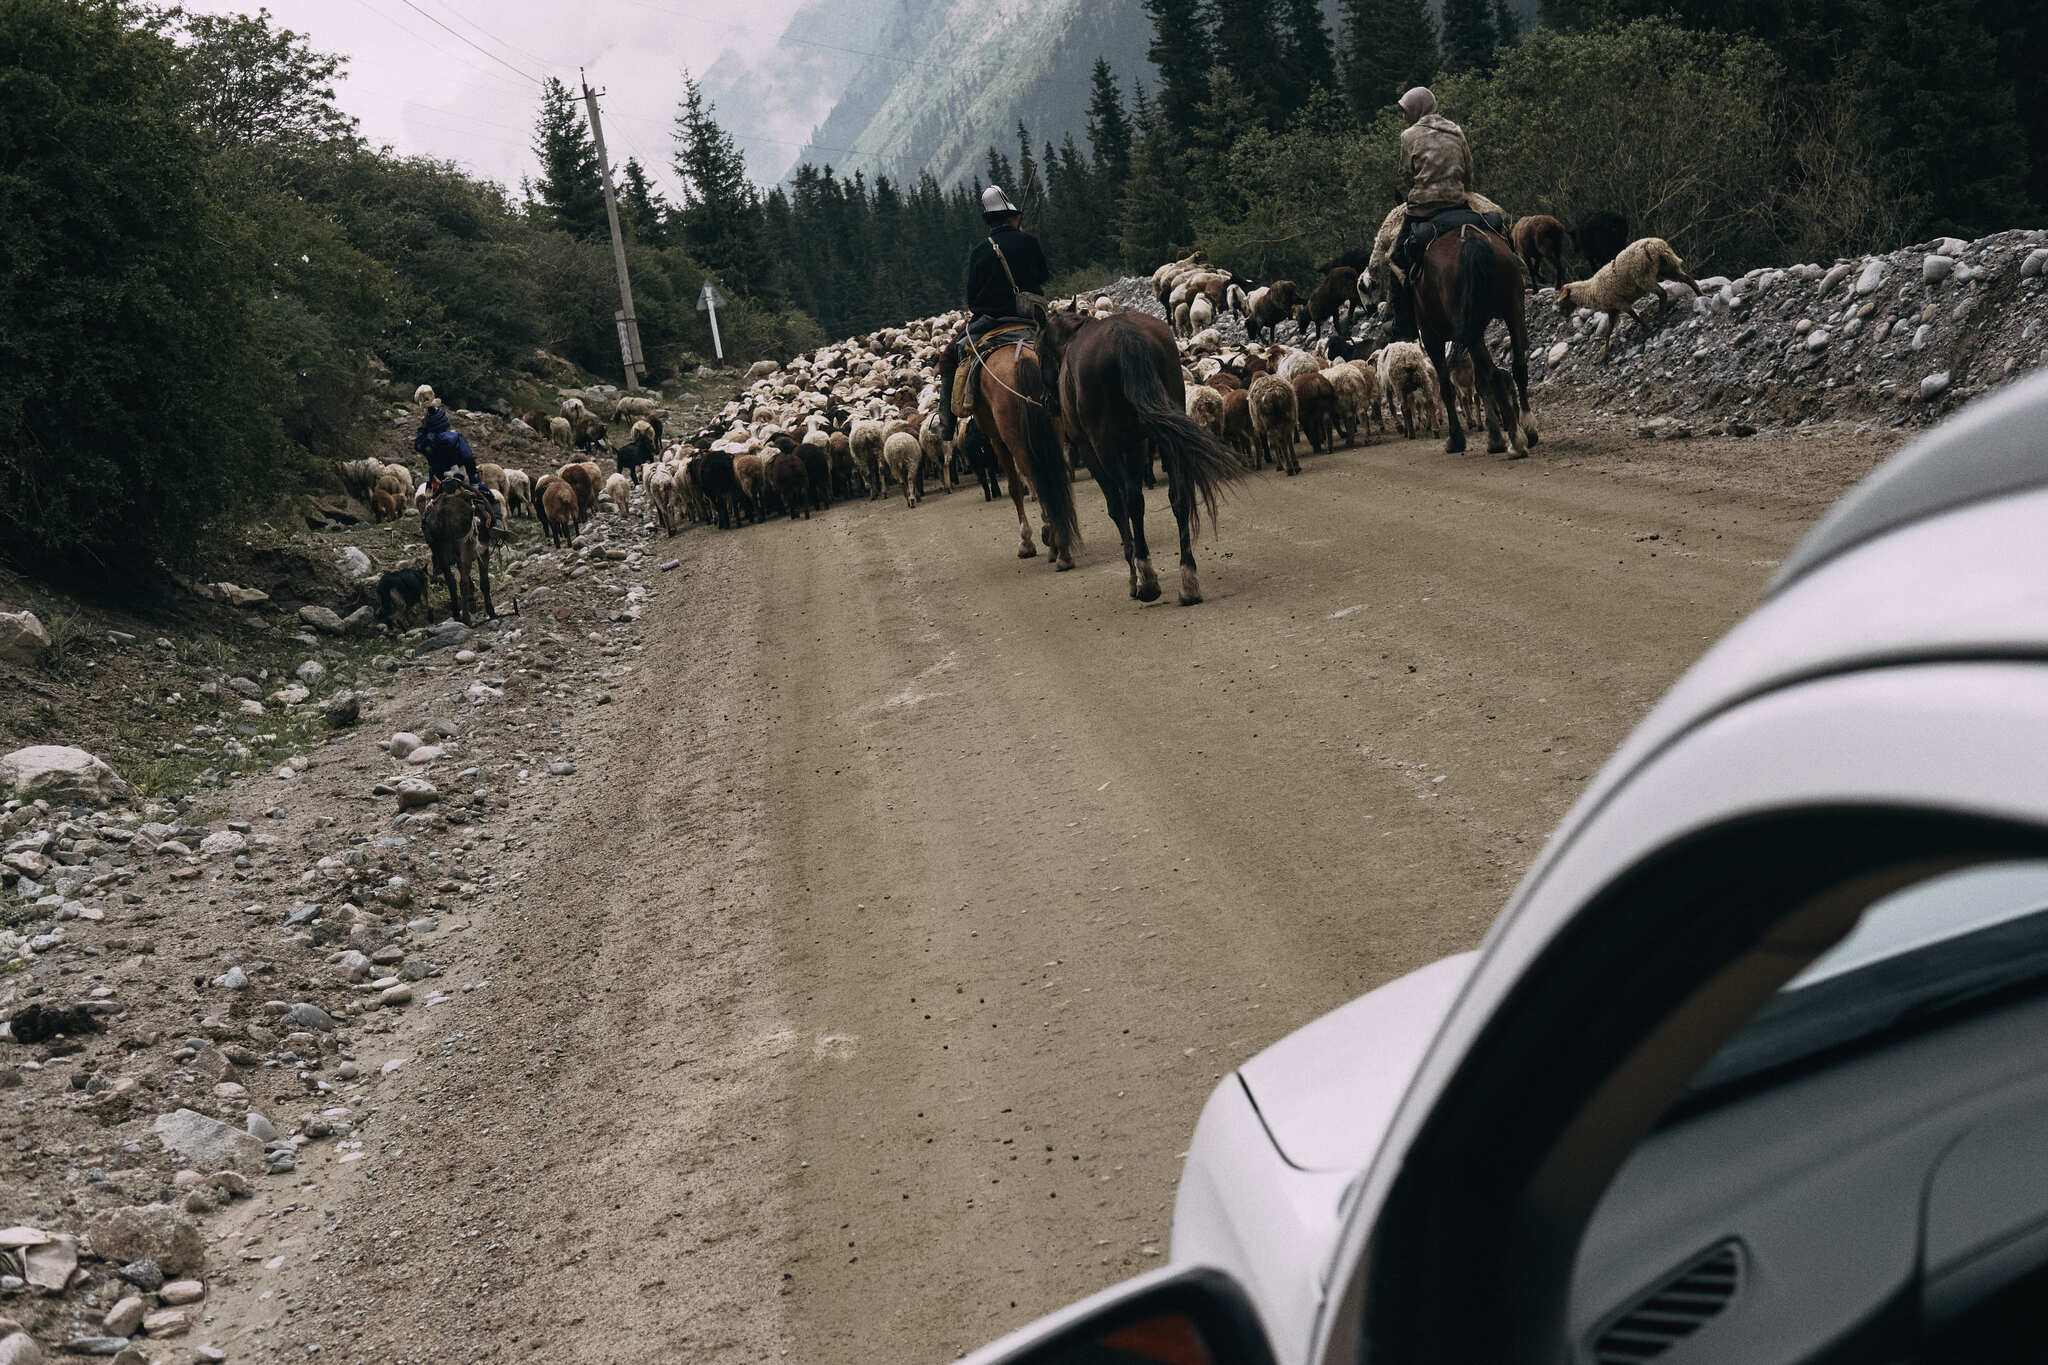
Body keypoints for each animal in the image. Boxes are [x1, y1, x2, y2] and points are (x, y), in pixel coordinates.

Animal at [419, 485, 491, 626]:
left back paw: (457, 613)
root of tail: (443, 512)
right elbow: (484, 582)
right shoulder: (483, 552)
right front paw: (491, 612)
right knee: (462, 583)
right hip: (465, 547)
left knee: (451, 581)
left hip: (442, 551)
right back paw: (466, 618)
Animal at [966, 331, 1081, 564]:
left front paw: (1026, 543)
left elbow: (1015, 487)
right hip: (1053, 427)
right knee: (1054, 473)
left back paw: (1054, 542)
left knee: (1034, 476)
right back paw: (1060, 542)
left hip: (1013, 438)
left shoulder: (997, 440)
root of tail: (1021, 359)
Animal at [1032, 313, 1236, 609]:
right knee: (1178, 497)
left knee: (1130, 500)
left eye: (1037, 351)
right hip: (1166, 430)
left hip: (1104, 444)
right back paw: (1188, 582)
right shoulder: (1137, 445)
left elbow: (1117, 506)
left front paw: (1133, 577)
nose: (1047, 401)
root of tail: (1124, 333)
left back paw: (1146, 579)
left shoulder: (1091, 449)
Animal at [1425, 225, 1540, 458]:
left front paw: (1456, 440)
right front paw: (1494, 438)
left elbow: (1447, 388)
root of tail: (1470, 240)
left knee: (1494, 376)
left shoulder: (1431, 336)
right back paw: (1528, 429)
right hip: (1513, 307)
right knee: (1517, 368)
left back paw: (1515, 441)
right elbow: (1479, 381)